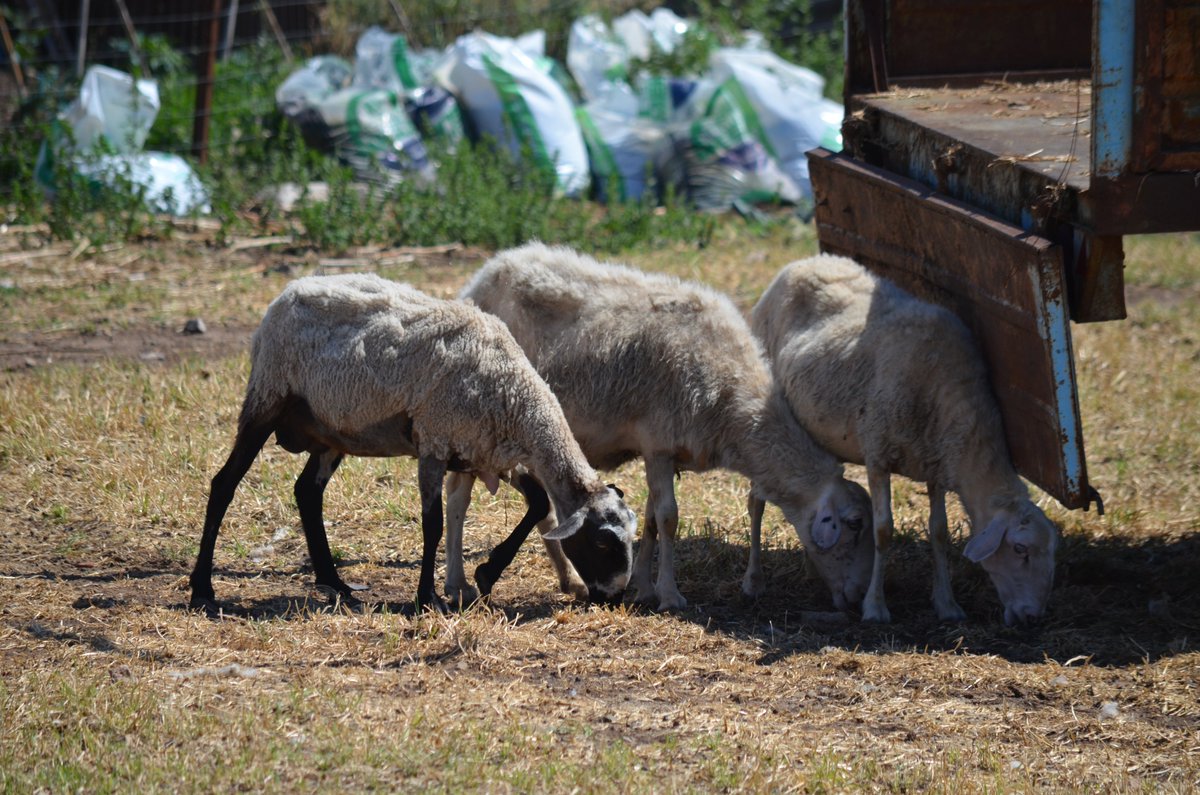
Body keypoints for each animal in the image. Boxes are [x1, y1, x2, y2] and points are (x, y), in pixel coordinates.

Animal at [189, 273, 638, 614]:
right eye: (602, 542)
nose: (614, 599)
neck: (515, 396)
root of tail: (288, 291)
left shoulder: (484, 454)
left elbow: (539, 504)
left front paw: (486, 574)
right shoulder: (434, 444)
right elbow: (433, 525)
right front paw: (428, 598)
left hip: (330, 429)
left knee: (306, 492)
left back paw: (336, 583)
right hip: (267, 396)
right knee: (224, 484)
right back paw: (202, 589)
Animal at [447, 242, 874, 612]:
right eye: (853, 524)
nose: (856, 599)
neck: (733, 401)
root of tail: (486, 274)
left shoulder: (660, 451)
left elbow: (652, 520)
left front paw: (644, 587)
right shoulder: (658, 444)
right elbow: (669, 519)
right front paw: (669, 595)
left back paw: (569, 580)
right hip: (474, 420)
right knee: (457, 498)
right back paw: (457, 583)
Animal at [750, 254, 1060, 625]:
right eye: (1019, 548)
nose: (1033, 616)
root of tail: (806, 261)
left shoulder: (936, 461)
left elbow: (939, 531)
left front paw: (947, 604)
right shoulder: (878, 454)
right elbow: (884, 531)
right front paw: (875, 607)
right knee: (757, 501)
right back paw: (755, 581)